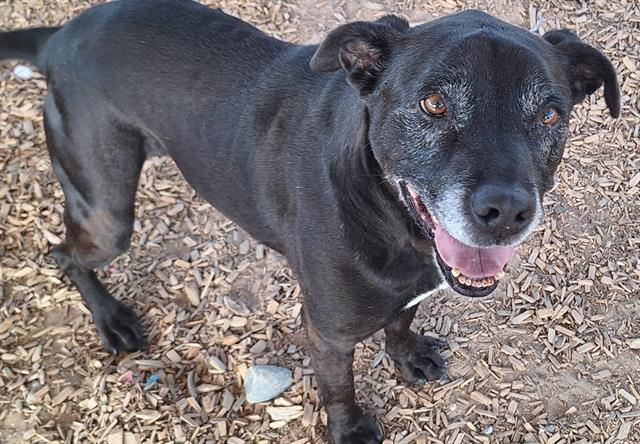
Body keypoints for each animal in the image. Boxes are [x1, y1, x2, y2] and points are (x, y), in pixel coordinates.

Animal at [1, 1, 620, 442]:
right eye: (434, 105)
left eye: (550, 114)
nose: (507, 212)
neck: (389, 215)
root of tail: (61, 34)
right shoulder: (327, 331)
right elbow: (339, 389)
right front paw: (349, 432)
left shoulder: (412, 286)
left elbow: (401, 320)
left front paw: (407, 355)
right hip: (107, 210)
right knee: (64, 254)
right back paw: (111, 321)